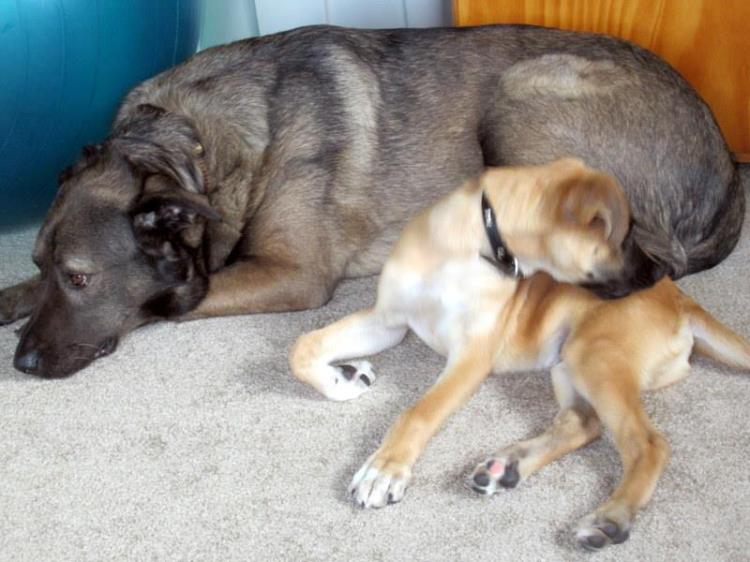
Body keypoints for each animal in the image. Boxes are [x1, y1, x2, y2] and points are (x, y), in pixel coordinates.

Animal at [0, 24, 744, 377]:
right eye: (44, 266)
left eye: (82, 279)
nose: (23, 366)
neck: (193, 145)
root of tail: (728, 170)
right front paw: (11, 298)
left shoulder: (292, 276)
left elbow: (169, 303)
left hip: (518, 100)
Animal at [289, 158, 750, 550]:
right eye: (627, 233)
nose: (659, 273)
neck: (471, 249)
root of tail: (683, 302)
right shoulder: (390, 321)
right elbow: (302, 348)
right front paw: (344, 379)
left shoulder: (471, 356)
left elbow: (418, 412)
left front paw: (384, 469)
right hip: (570, 359)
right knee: (583, 423)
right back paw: (507, 467)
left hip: (594, 353)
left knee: (647, 443)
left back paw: (611, 517)